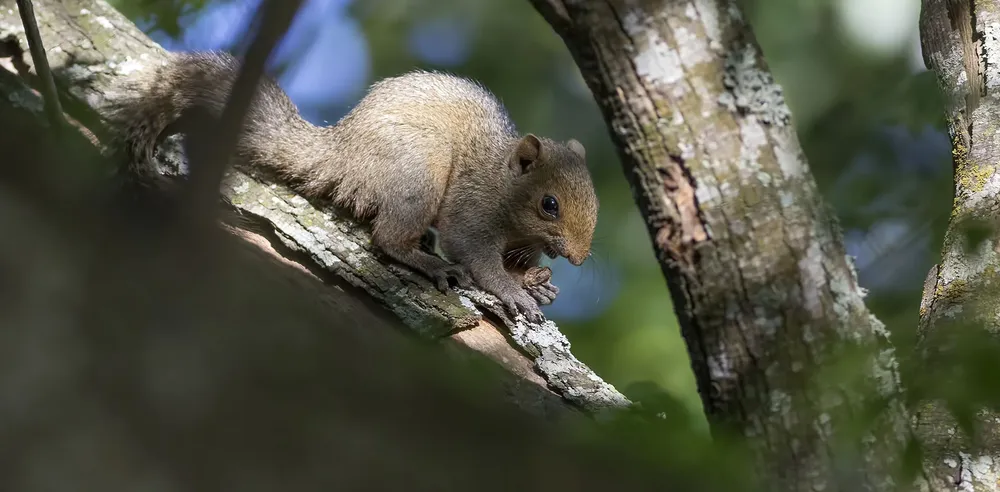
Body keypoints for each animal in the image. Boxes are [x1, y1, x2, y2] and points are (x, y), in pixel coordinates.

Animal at [104, 51, 598, 323]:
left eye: (593, 202)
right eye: (549, 204)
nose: (577, 259)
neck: (503, 188)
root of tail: (343, 155)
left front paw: (535, 281)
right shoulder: (471, 211)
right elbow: (476, 256)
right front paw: (513, 291)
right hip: (418, 171)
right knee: (388, 238)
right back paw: (429, 263)